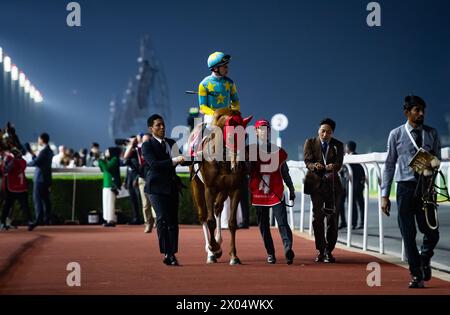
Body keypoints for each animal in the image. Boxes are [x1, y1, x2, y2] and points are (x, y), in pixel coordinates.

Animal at [188, 110, 251, 266]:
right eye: (231, 136)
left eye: (245, 135)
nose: (239, 165)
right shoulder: (209, 189)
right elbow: (209, 221)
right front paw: (213, 248)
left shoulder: (235, 189)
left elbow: (232, 223)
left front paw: (234, 256)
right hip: (197, 186)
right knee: (203, 215)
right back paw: (211, 250)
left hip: (223, 190)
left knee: (217, 208)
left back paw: (218, 241)